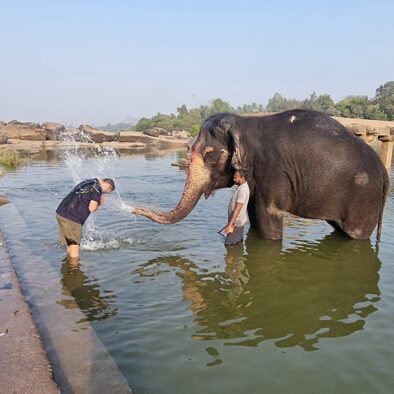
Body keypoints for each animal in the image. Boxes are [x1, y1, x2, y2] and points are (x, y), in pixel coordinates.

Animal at [134, 109, 390, 242]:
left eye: (209, 155)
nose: (134, 208)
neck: (246, 123)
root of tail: (385, 173)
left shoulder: (274, 170)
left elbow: (268, 214)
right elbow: (252, 213)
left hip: (364, 199)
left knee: (356, 235)